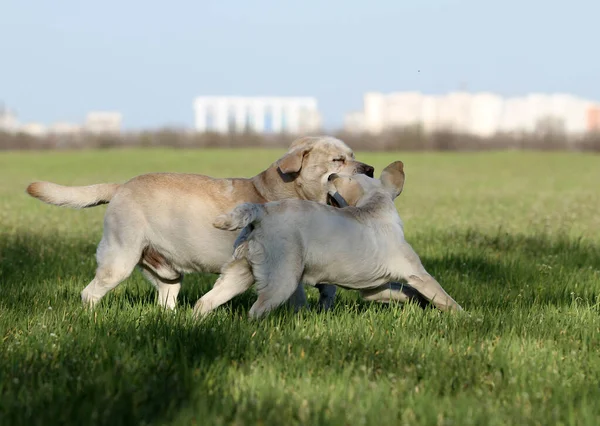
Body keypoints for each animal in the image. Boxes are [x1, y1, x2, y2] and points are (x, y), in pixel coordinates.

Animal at [28, 136, 376, 310]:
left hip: (167, 274)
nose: (370, 168)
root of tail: (121, 186)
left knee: (165, 300)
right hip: (119, 261)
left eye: (353, 156)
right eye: (338, 160)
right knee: (89, 294)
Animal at [197, 161, 464, 320]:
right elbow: (445, 298)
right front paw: (465, 317)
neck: (375, 206)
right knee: (255, 311)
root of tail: (260, 212)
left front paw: (421, 302)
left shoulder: (374, 289)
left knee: (204, 302)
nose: (332, 175)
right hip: (281, 281)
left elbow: (404, 291)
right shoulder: (418, 274)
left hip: (238, 275)